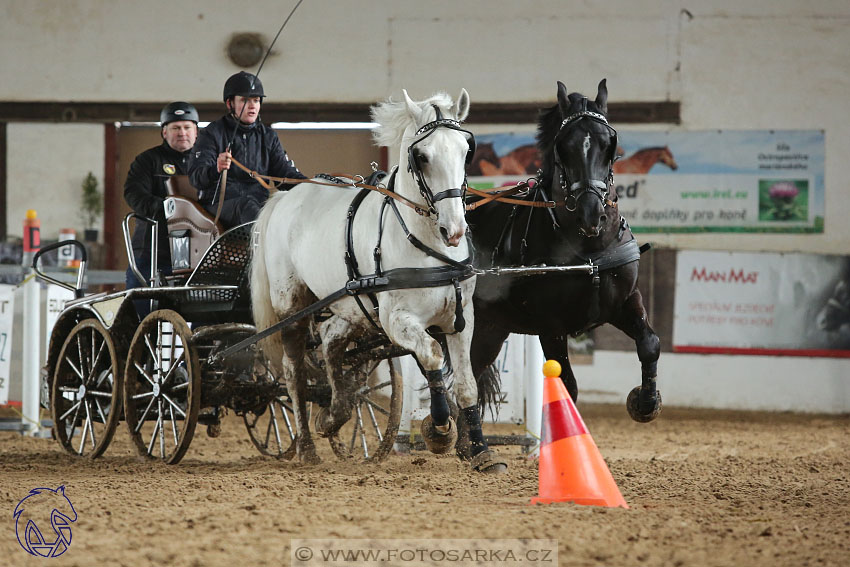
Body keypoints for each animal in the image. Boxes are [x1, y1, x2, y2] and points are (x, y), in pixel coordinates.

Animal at [252, 89, 504, 472]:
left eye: (466, 149)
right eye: (421, 156)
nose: (455, 230)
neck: (426, 246)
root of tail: (285, 196)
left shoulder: (460, 320)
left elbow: (466, 384)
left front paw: (480, 451)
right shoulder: (396, 319)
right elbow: (431, 357)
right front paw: (439, 431)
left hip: (349, 305)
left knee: (331, 342)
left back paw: (335, 413)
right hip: (292, 306)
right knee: (294, 374)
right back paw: (308, 447)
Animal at [468, 79, 660, 426]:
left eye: (609, 144)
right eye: (564, 146)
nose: (591, 214)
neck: (590, 253)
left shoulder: (625, 301)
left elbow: (650, 343)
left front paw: (645, 403)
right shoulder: (551, 326)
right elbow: (567, 384)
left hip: (491, 326)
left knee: (472, 375)